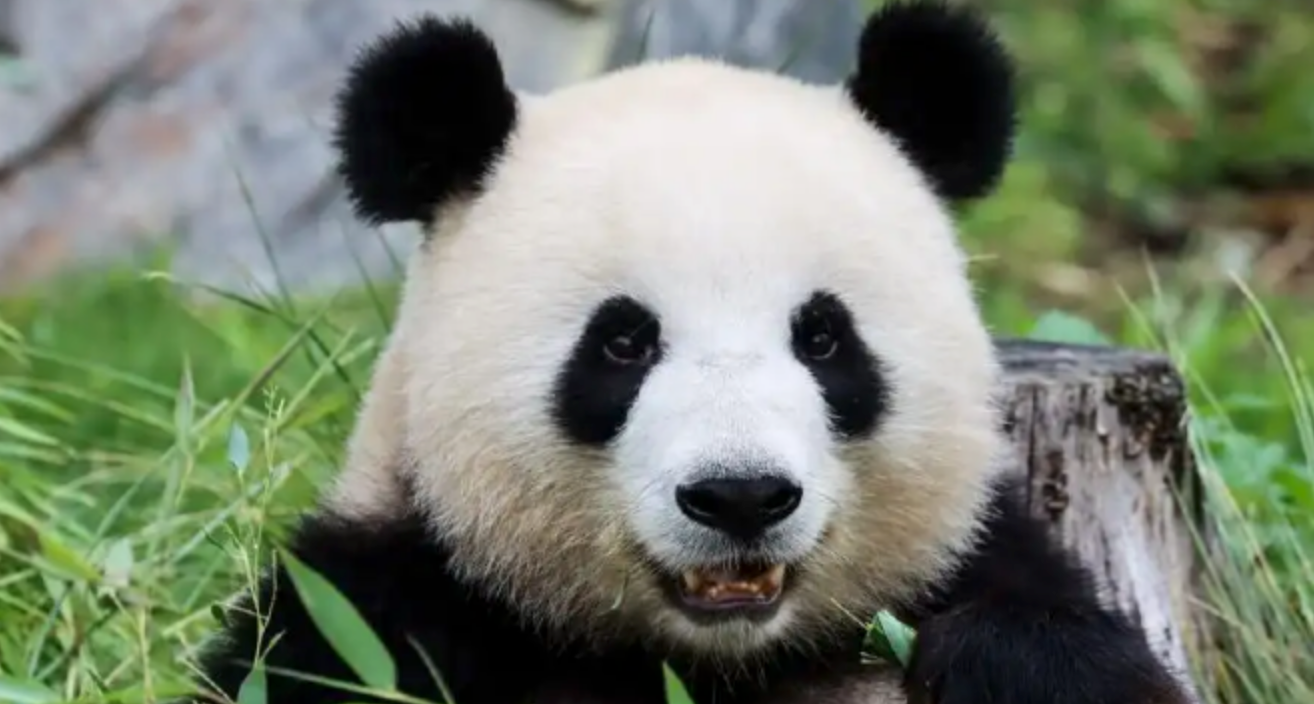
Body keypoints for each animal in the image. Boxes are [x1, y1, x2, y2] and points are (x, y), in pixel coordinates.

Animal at [189, 2, 1193, 703]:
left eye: (823, 337)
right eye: (622, 342)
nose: (740, 496)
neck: (717, 659)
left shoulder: (977, 563)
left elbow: (1058, 649)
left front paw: (1005, 661)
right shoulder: (390, 598)